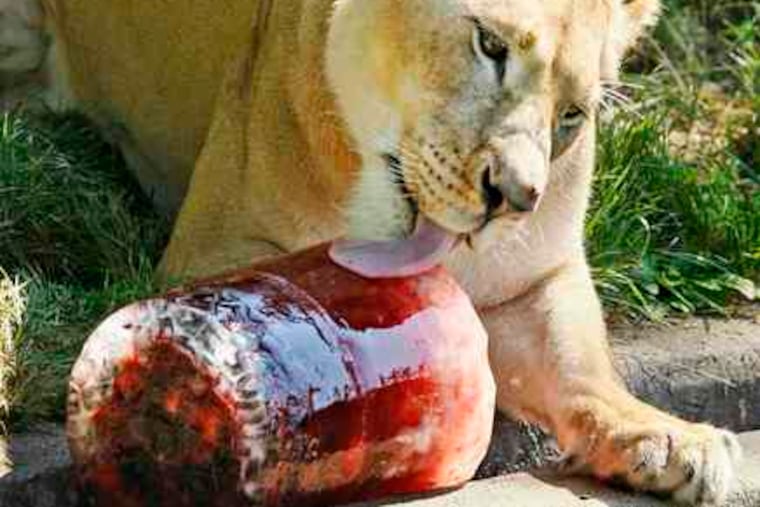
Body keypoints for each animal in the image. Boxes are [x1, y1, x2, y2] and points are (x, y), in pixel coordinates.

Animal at [1, 0, 742, 504]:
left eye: (571, 116)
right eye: (490, 44)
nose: (514, 196)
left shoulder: (538, 275)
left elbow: (581, 368)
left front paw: (668, 437)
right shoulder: (215, 243)